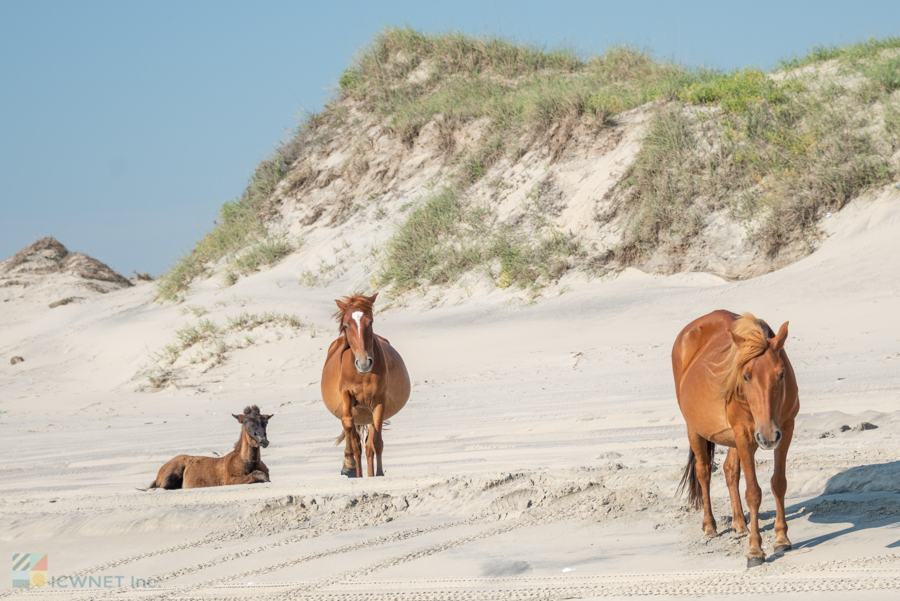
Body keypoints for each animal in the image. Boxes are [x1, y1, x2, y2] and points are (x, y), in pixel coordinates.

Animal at [142, 406, 270, 490]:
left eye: (265, 422)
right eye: (246, 421)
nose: (263, 440)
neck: (248, 462)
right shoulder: (230, 480)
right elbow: (257, 475)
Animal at [320, 292, 412, 476]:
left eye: (370, 322)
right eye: (346, 325)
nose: (364, 363)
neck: (360, 375)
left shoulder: (378, 402)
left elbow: (376, 443)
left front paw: (379, 474)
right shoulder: (346, 395)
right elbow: (349, 428)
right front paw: (349, 465)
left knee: (370, 446)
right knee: (357, 443)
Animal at [668, 310, 800, 568]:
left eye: (781, 374)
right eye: (746, 377)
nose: (767, 436)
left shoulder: (785, 430)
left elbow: (779, 483)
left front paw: (782, 538)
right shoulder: (744, 436)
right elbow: (754, 493)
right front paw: (755, 551)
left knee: (730, 471)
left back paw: (739, 524)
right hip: (696, 430)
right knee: (704, 472)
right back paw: (710, 527)